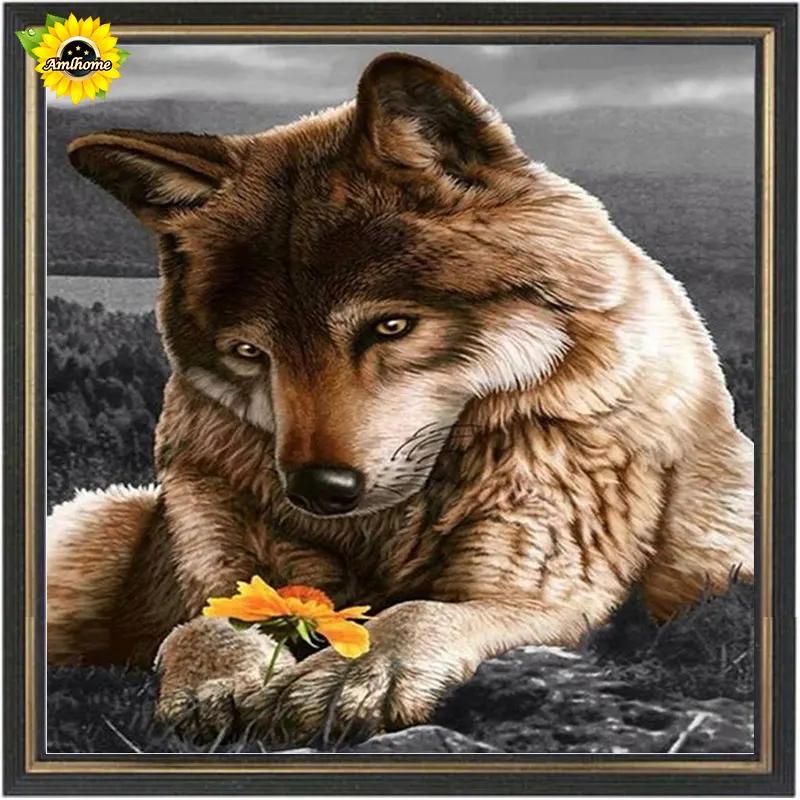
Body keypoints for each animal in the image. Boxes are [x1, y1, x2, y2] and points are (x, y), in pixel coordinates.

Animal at [48, 52, 754, 743]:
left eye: (391, 326)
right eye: (250, 352)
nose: (317, 489)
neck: (384, 532)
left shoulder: (541, 592)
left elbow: (417, 612)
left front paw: (356, 674)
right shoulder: (217, 559)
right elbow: (205, 622)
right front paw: (217, 680)